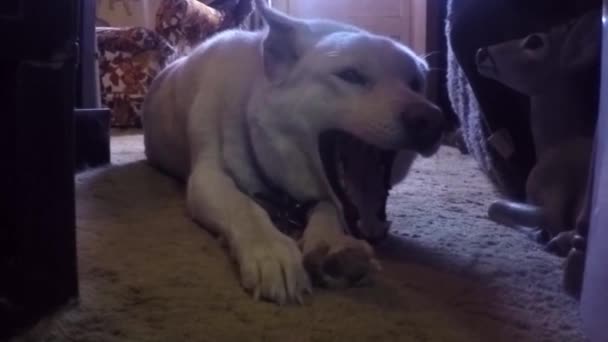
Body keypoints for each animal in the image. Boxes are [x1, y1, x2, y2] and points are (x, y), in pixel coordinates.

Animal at [143, 0, 446, 304]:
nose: (432, 120)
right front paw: (271, 250)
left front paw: (332, 243)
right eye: (350, 75)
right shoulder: (208, 179)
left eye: (416, 83)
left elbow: (328, 207)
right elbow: (245, 206)